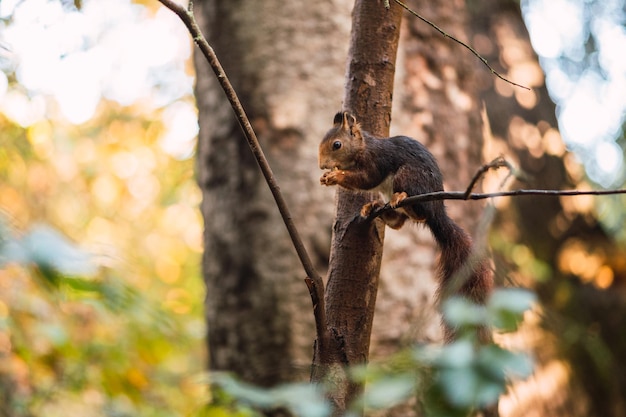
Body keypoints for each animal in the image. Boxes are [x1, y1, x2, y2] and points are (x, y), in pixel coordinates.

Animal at [320, 112, 490, 340]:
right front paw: (328, 177)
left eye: (336, 144)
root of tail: (437, 210)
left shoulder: (376, 162)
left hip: (408, 177)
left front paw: (336, 176)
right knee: (400, 222)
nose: (322, 165)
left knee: (421, 215)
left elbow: (366, 179)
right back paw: (375, 207)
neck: (364, 147)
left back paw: (401, 198)